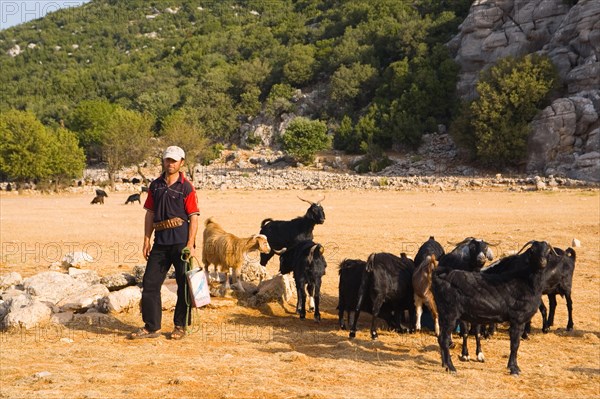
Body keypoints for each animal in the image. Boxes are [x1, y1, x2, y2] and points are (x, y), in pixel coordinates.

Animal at [432, 242, 552, 376]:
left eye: (548, 251)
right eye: (532, 250)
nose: (542, 262)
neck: (528, 282)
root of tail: (440, 275)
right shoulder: (518, 319)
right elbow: (515, 344)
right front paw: (514, 369)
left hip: (443, 314)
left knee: (440, 338)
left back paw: (445, 365)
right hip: (450, 314)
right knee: (444, 339)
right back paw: (452, 368)